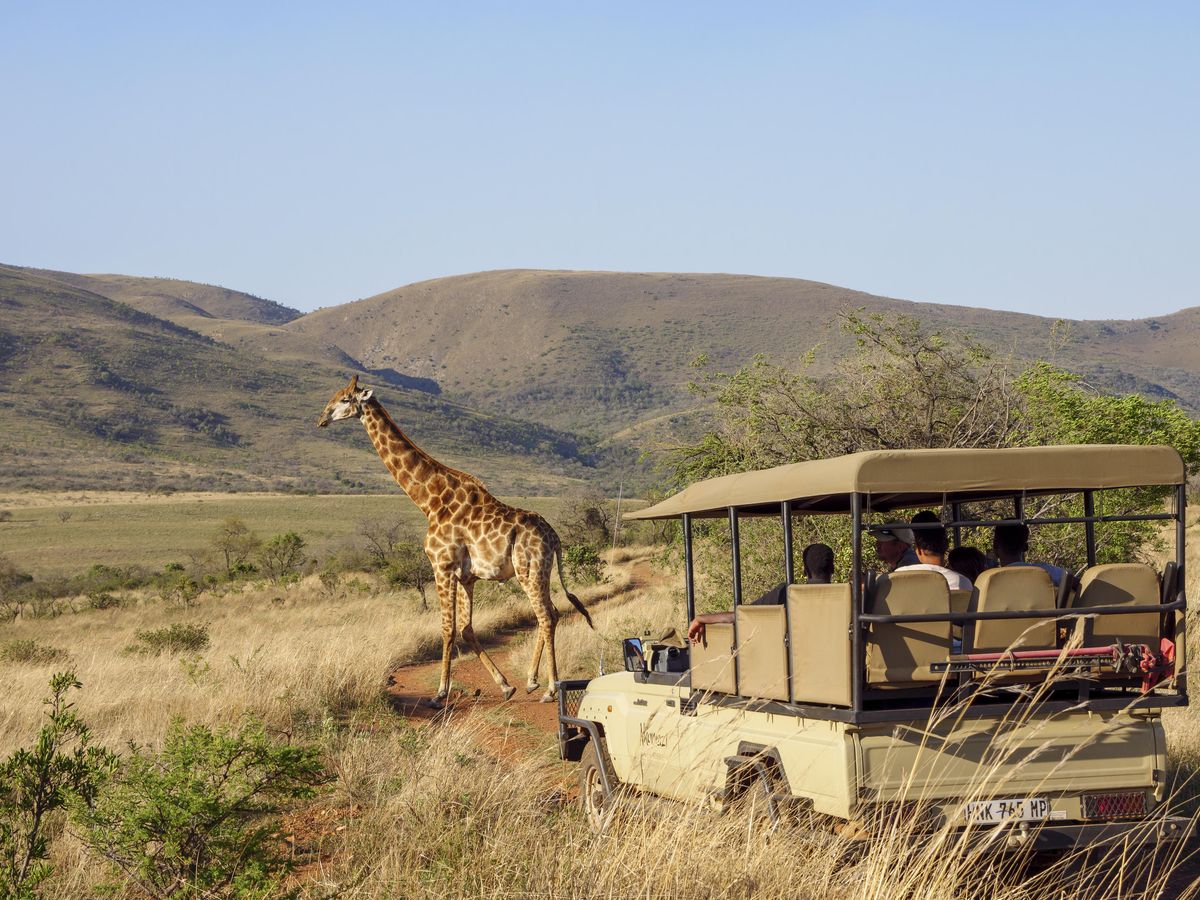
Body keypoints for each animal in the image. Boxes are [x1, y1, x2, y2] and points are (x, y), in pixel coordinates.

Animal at [317, 375, 594, 704]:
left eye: (345, 399)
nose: (321, 418)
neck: (429, 501)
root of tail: (555, 538)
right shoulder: (466, 576)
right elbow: (466, 629)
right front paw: (505, 686)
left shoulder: (442, 566)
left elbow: (447, 628)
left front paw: (439, 693)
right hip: (538, 571)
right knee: (551, 613)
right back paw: (529, 681)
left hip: (530, 570)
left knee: (547, 616)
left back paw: (551, 689)